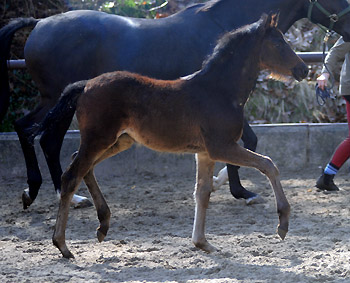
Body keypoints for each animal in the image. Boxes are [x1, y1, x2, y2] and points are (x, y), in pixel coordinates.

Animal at [0, 0, 348, 209]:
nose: (303, 70)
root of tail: (39, 24)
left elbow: (245, 141)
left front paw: (229, 184)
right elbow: (247, 140)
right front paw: (241, 190)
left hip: (51, 100)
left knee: (26, 129)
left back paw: (34, 191)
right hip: (59, 101)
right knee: (47, 138)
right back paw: (65, 196)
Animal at [39, 13, 304, 260]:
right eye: (278, 43)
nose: (304, 68)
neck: (218, 91)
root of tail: (84, 85)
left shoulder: (205, 152)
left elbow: (202, 192)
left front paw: (202, 243)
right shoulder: (222, 146)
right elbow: (268, 164)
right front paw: (283, 223)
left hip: (119, 141)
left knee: (83, 165)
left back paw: (103, 225)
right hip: (99, 139)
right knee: (71, 176)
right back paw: (62, 244)